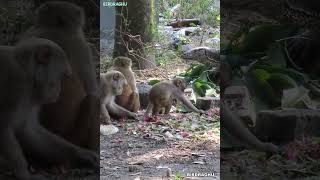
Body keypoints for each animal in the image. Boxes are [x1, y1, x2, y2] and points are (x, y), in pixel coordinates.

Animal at [0, 37, 98, 180]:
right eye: (62, 75)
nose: (59, 89)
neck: (28, 74)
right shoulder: (16, 86)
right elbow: (4, 129)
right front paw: (24, 174)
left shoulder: (30, 97)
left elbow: (29, 130)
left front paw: (82, 154)